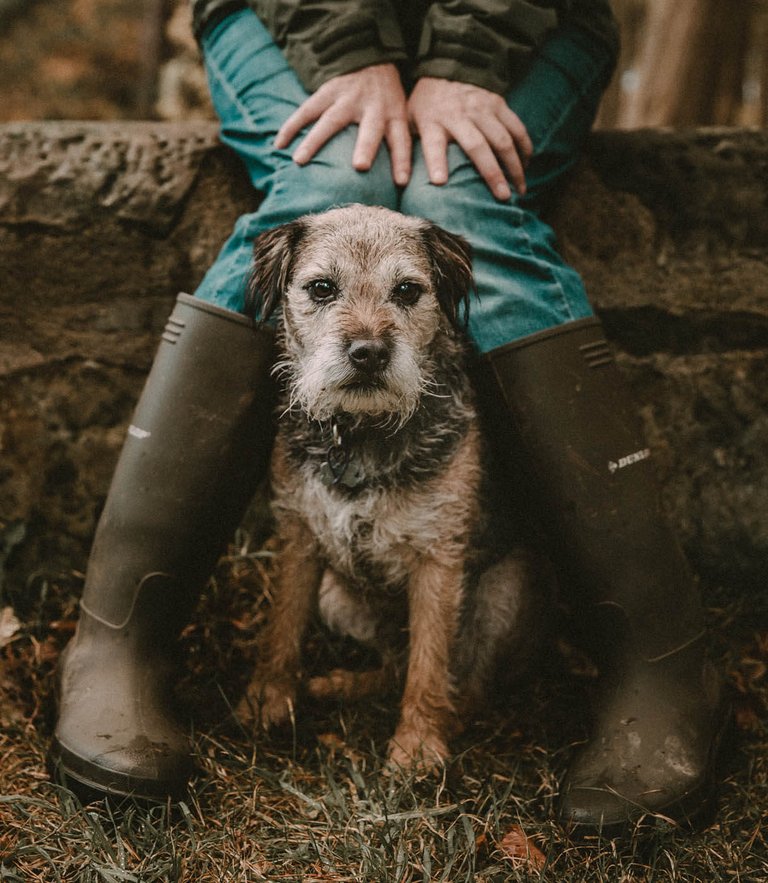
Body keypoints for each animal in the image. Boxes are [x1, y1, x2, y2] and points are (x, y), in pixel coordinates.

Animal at [240, 205, 544, 768]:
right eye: (321, 288)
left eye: (406, 290)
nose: (368, 352)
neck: (360, 433)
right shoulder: (299, 536)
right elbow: (284, 624)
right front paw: (269, 697)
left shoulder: (438, 559)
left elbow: (430, 659)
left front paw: (418, 744)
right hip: (336, 596)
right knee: (394, 663)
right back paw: (340, 685)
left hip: (504, 589)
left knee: (462, 684)